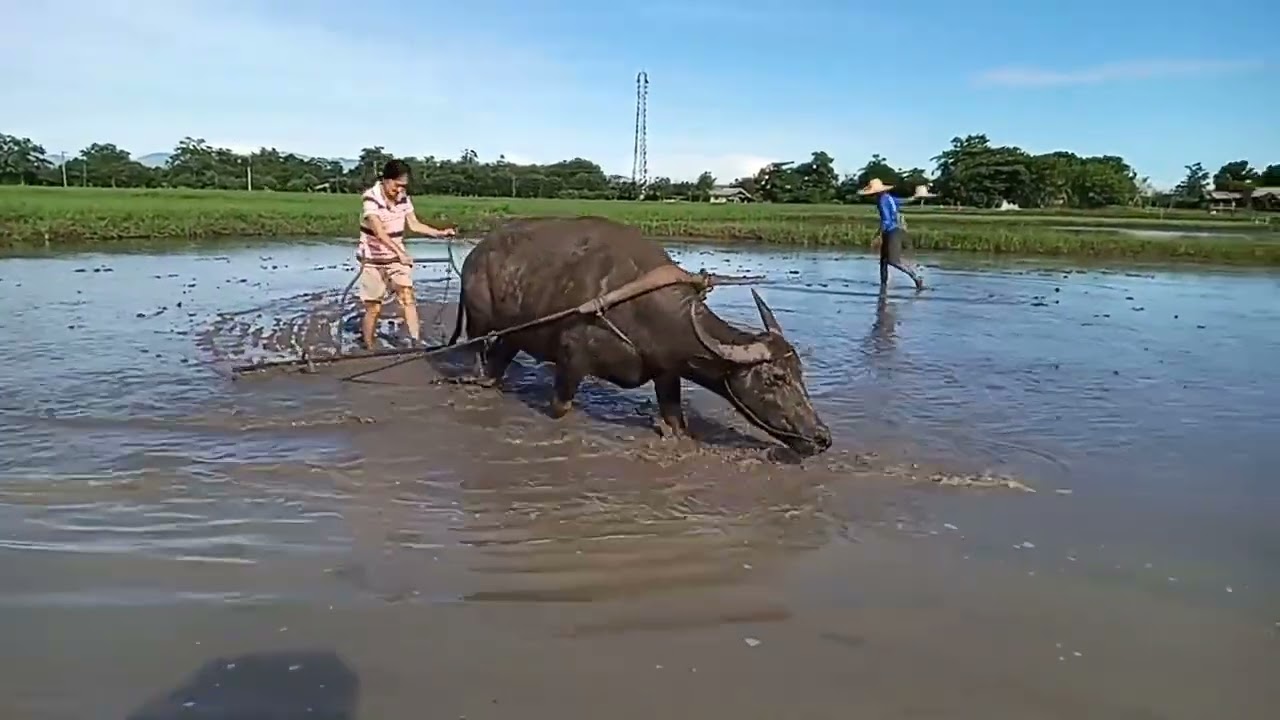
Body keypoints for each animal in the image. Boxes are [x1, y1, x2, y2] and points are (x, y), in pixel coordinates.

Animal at [445, 217, 832, 456]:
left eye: (800, 374)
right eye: (776, 378)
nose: (822, 438)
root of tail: (474, 255)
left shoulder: (666, 372)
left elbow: (676, 420)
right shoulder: (571, 360)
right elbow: (561, 407)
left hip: (513, 335)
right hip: (480, 321)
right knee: (477, 350)